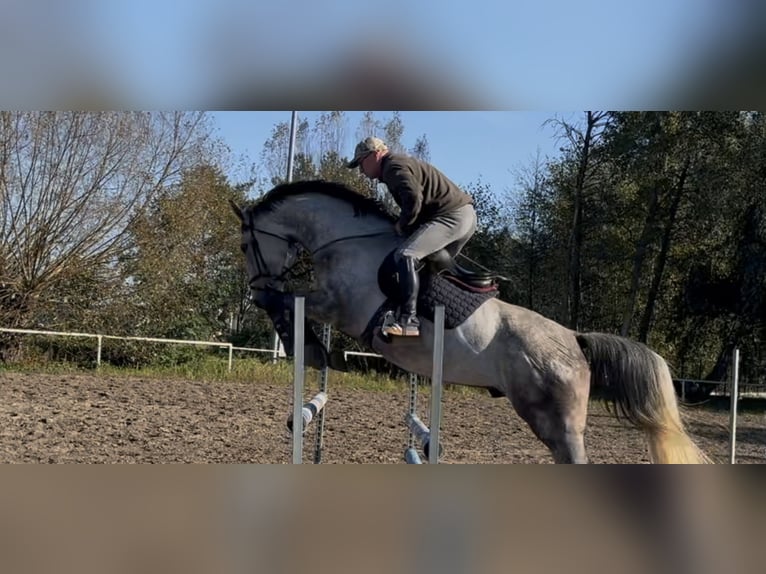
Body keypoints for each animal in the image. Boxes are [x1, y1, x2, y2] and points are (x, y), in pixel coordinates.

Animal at [232, 182, 712, 466]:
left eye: (244, 245)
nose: (255, 278)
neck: (348, 243)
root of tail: (576, 340)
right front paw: (311, 349)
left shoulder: (338, 305)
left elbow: (281, 300)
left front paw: (306, 345)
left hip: (556, 419)